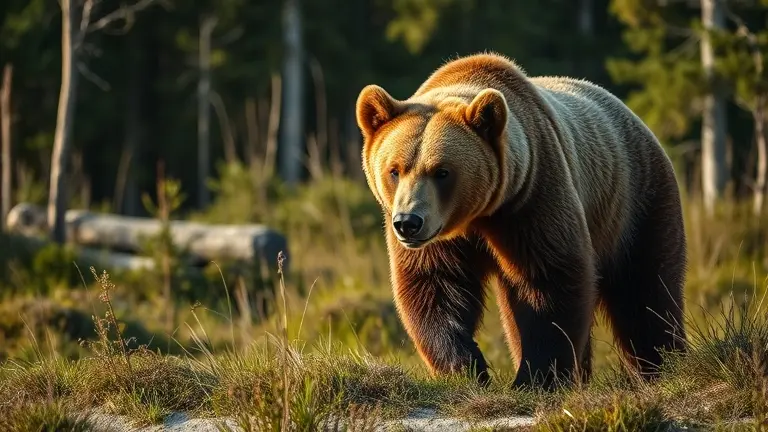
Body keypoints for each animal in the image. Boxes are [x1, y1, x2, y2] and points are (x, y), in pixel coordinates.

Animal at [355, 52, 688, 390]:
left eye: (442, 171)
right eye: (395, 170)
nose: (408, 222)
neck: (477, 216)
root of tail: (633, 117)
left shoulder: (531, 196)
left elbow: (548, 282)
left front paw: (535, 377)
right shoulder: (441, 238)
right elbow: (434, 286)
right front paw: (466, 368)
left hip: (635, 202)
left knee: (646, 289)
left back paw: (661, 364)